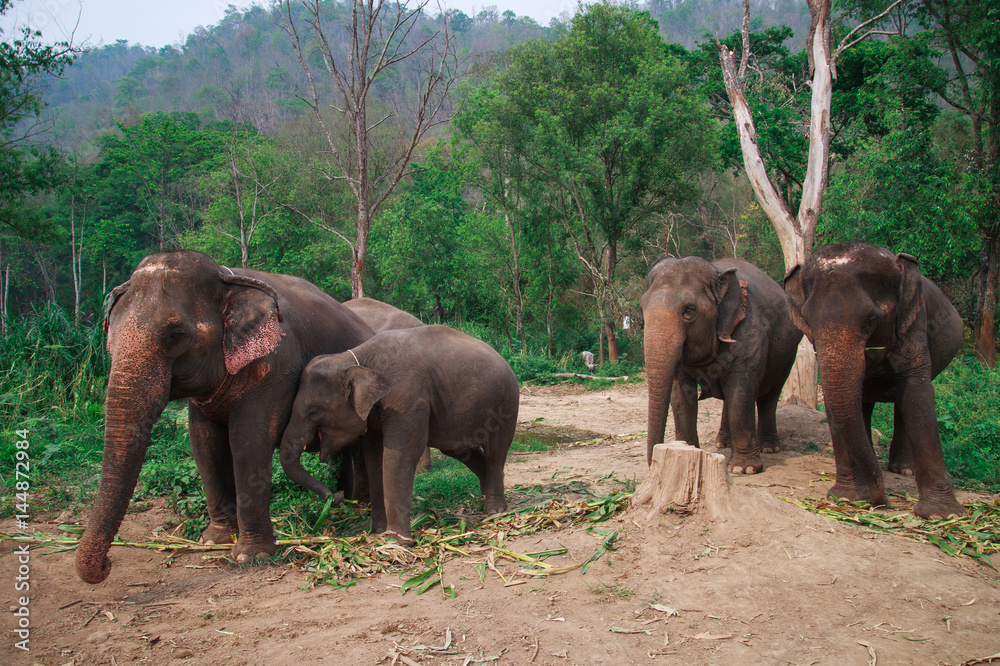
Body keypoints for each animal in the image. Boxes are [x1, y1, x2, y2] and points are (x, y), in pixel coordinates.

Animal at [76, 250, 375, 584]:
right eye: (109, 335)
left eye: (175, 336)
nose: (107, 565)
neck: (225, 276)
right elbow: (204, 443)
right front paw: (213, 540)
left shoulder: (275, 368)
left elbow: (248, 441)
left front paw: (251, 556)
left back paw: (357, 503)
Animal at [280, 324, 519, 543]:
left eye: (313, 412)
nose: (336, 497)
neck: (356, 360)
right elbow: (374, 456)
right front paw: (379, 532)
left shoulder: (407, 398)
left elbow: (401, 454)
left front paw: (396, 541)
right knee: (458, 449)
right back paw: (486, 493)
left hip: (506, 402)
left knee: (495, 451)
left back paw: (495, 510)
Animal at [640, 256, 803, 474]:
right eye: (642, 306)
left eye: (689, 310)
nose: (652, 465)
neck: (716, 270)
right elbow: (681, 393)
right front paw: (686, 450)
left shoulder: (750, 332)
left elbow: (741, 388)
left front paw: (744, 469)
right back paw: (723, 443)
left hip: (788, 355)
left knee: (769, 395)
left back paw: (769, 448)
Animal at [783, 242, 964, 519]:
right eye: (809, 321)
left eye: (871, 320)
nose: (881, 501)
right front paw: (848, 497)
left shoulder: (914, 324)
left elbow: (918, 394)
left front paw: (942, 514)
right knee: (865, 405)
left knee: (900, 406)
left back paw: (903, 470)